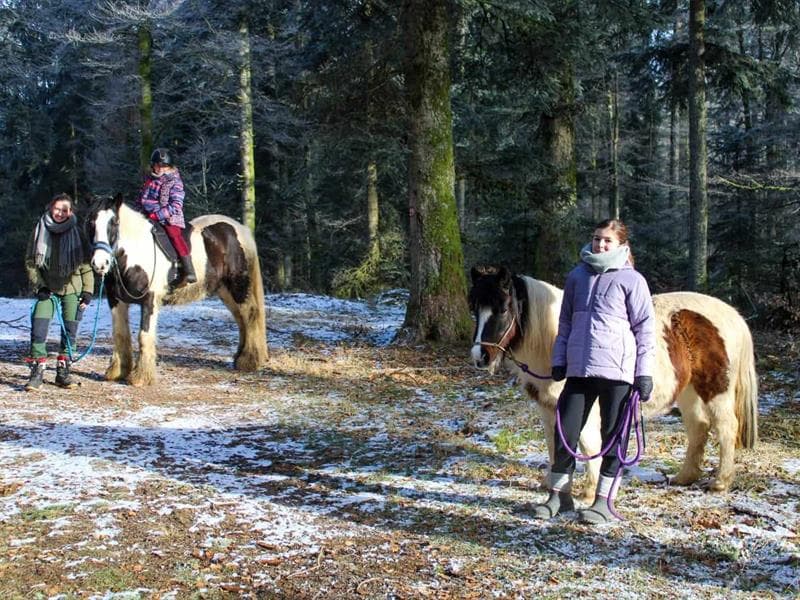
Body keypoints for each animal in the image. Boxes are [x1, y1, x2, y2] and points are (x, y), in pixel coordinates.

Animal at [87, 194, 269, 386]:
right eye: (91, 222)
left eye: (114, 222)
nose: (100, 264)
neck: (135, 254)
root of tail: (240, 229)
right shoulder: (116, 300)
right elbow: (120, 334)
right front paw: (117, 372)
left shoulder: (149, 300)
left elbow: (144, 336)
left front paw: (141, 377)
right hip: (224, 290)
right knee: (241, 319)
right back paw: (240, 358)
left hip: (238, 285)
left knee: (250, 315)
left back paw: (249, 361)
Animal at [468, 265, 758, 500]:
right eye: (474, 311)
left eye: (503, 309)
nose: (480, 356)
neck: (554, 343)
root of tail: (732, 315)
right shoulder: (548, 408)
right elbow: (554, 443)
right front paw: (552, 483)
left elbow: (587, 444)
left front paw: (588, 491)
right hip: (689, 392)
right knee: (698, 427)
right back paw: (684, 477)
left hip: (716, 391)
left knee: (725, 428)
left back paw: (720, 483)